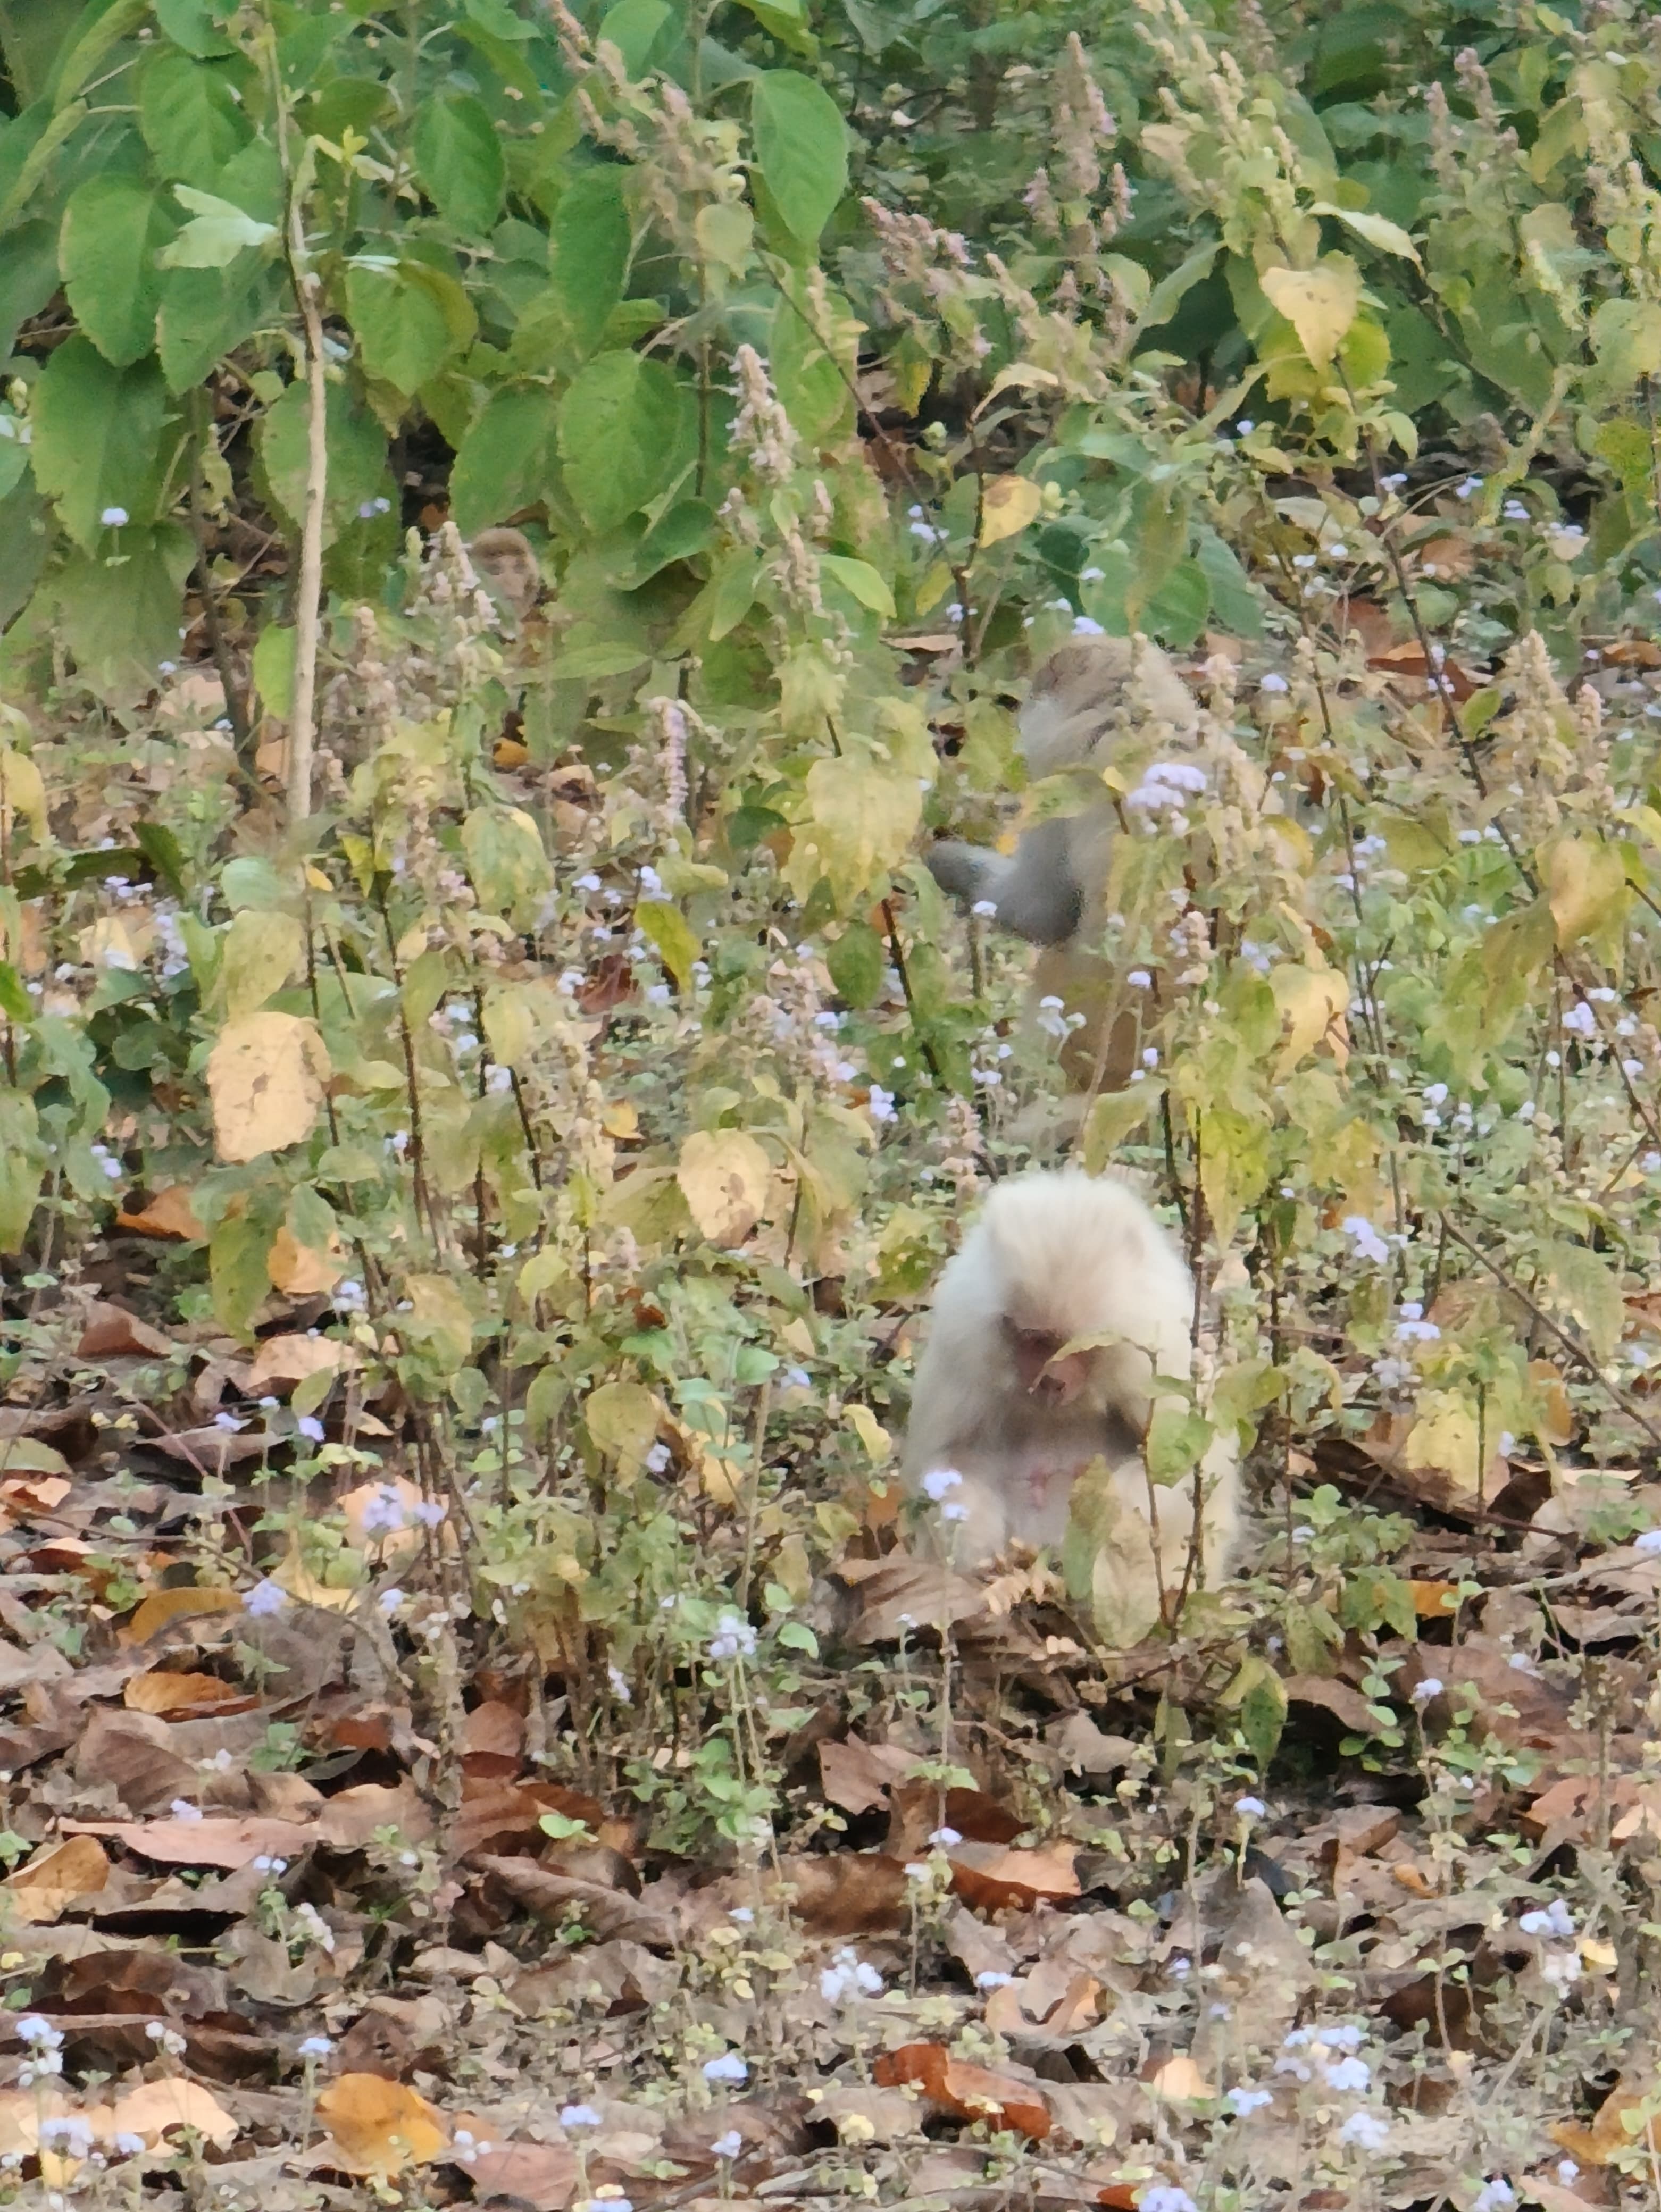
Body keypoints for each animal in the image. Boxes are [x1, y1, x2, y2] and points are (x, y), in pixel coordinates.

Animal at [900, 1169, 1241, 1627]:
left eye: (1078, 1346)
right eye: (1036, 1341)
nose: (1051, 1382)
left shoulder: (1159, 1359)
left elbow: (1191, 1475)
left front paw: (1099, 1519)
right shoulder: (964, 1351)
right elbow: (943, 1464)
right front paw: (979, 1547)